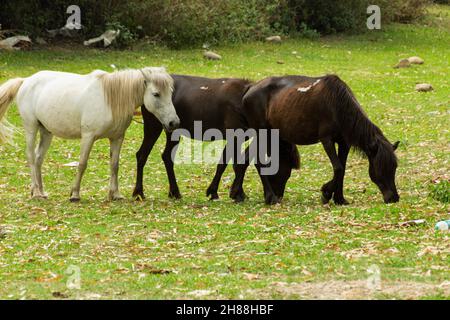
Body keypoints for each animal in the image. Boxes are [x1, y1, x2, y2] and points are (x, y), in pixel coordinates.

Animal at [0, 67, 179, 202]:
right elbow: (82, 164)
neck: (110, 99)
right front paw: (75, 194)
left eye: (171, 92)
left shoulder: (117, 138)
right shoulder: (88, 137)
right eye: (156, 94)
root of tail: (26, 81)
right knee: (31, 157)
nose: (174, 123)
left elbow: (114, 165)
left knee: (38, 159)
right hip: (31, 128)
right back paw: (36, 192)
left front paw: (115, 194)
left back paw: (41, 192)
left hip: (46, 132)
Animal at [130, 74, 298, 204]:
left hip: (173, 130)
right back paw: (138, 192)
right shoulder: (233, 134)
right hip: (153, 125)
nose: (280, 195)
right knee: (142, 155)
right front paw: (217, 192)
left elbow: (235, 163)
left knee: (166, 156)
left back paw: (174, 192)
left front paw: (235, 193)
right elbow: (228, 163)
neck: (245, 106)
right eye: (288, 168)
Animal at [230, 75, 400, 204]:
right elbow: (338, 168)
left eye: (394, 168)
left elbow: (342, 169)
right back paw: (270, 197)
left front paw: (339, 198)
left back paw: (237, 193)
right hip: (262, 133)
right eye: (381, 168)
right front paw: (326, 192)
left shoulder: (344, 143)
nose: (394, 198)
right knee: (257, 162)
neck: (337, 104)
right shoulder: (327, 140)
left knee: (245, 159)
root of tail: (249, 89)